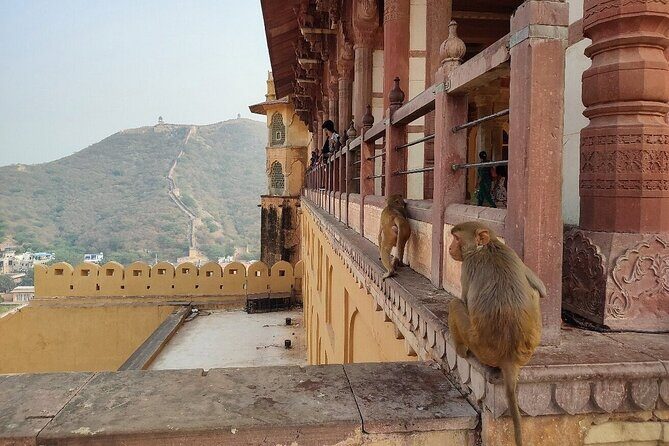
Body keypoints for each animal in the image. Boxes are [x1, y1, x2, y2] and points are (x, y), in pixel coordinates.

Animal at [447, 221, 546, 446]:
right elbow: (542, 288)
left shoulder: (468, 266)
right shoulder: (513, 253)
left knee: (455, 304)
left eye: (456, 238)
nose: (449, 247)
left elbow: (463, 301)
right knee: (535, 293)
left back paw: (460, 349)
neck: (487, 247)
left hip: (478, 345)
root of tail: (508, 357)